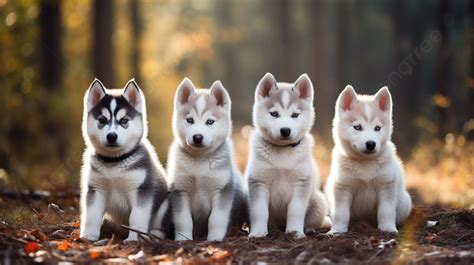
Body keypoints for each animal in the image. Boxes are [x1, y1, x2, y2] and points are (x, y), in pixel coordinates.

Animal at [78, 78, 167, 239]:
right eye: (102, 119)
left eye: (124, 120)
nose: (112, 136)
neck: (114, 163)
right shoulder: (95, 189)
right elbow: (91, 216)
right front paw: (88, 237)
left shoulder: (141, 190)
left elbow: (136, 217)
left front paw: (134, 239)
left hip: (165, 205)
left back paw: (154, 234)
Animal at [244, 71, 330, 237]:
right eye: (274, 114)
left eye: (295, 115)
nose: (285, 130)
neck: (282, 151)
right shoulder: (259, 181)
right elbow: (259, 211)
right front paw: (258, 233)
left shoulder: (301, 182)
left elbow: (295, 210)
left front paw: (295, 232)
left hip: (318, 201)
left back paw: (309, 228)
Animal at [326, 84, 412, 233]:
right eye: (357, 127)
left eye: (377, 128)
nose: (371, 144)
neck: (365, 163)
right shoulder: (342, 188)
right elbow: (341, 213)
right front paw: (337, 231)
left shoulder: (386, 186)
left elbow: (386, 211)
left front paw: (388, 229)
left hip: (404, 201)